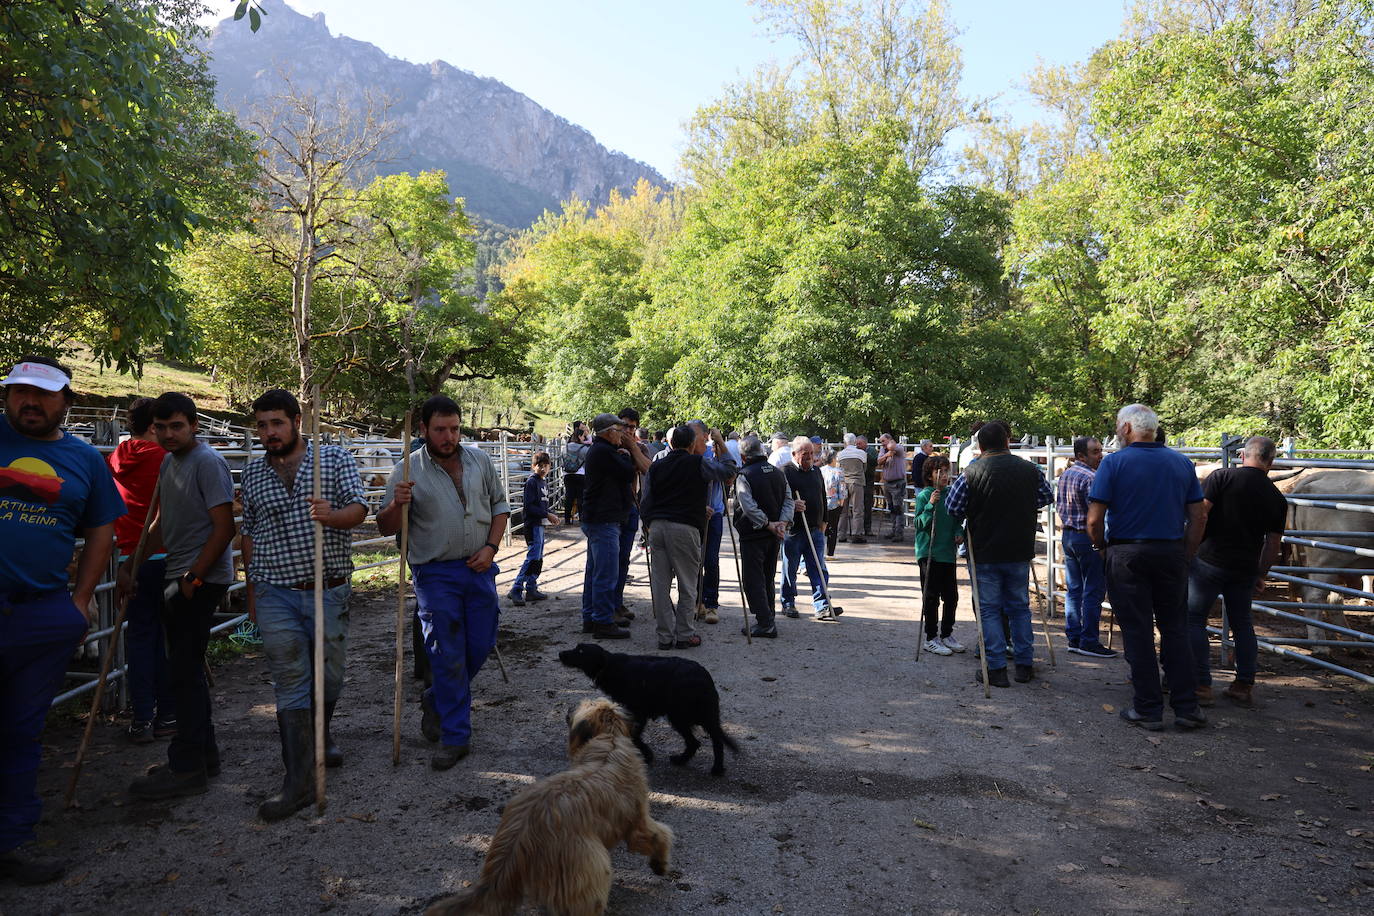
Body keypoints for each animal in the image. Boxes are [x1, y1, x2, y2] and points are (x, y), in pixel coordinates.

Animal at [423, 697, 670, 911]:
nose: (568, 710)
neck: (609, 739)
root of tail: (521, 836)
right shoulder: (637, 820)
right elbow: (658, 835)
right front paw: (659, 864)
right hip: (588, 862)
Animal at [555, 645, 736, 774]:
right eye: (576, 647)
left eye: (581, 650)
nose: (560, 653)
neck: (610, 665)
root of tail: (705, 676)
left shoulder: (639, 712)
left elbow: (635, 735)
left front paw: (647, 754)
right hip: (688, 715)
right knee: (697, 742)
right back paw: (682, 760)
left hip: (683, 715)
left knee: (713, 740)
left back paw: (716, 769)